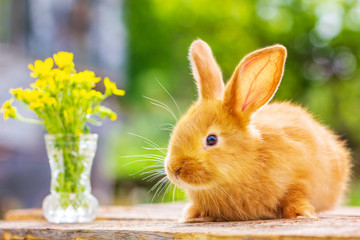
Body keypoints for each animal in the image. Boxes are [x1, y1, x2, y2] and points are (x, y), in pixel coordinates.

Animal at [165, 39, 350, 223]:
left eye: (211, 139)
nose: (174, 169)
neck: (249, 162)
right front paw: (190, 215)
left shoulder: (300, 178)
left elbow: (295, 196)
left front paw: (302, 214)